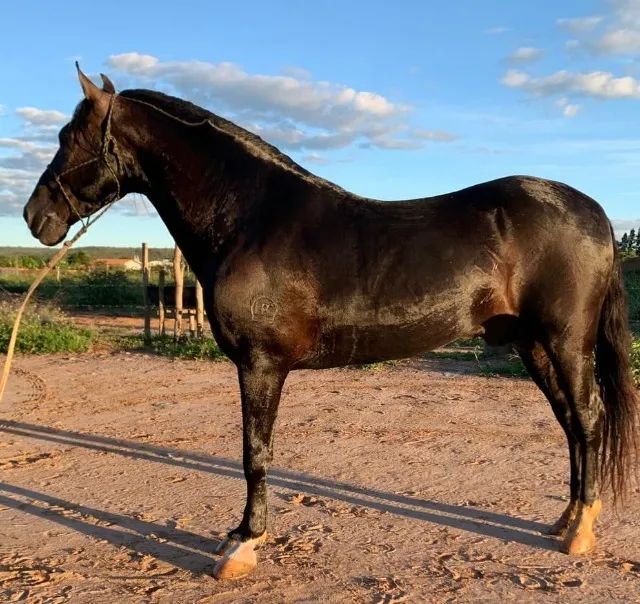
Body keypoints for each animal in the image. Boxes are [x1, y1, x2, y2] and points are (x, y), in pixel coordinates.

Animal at [23, 65, 638, 580]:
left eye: (69, 138)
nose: (34, 217)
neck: (251, 218)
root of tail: (594, 213)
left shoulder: (261, 365)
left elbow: (255, 453)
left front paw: (242, 544)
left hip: (565, 341)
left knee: (587, 419)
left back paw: (580, 532)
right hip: (533, 345)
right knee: (569, 422)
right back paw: (564, 520)